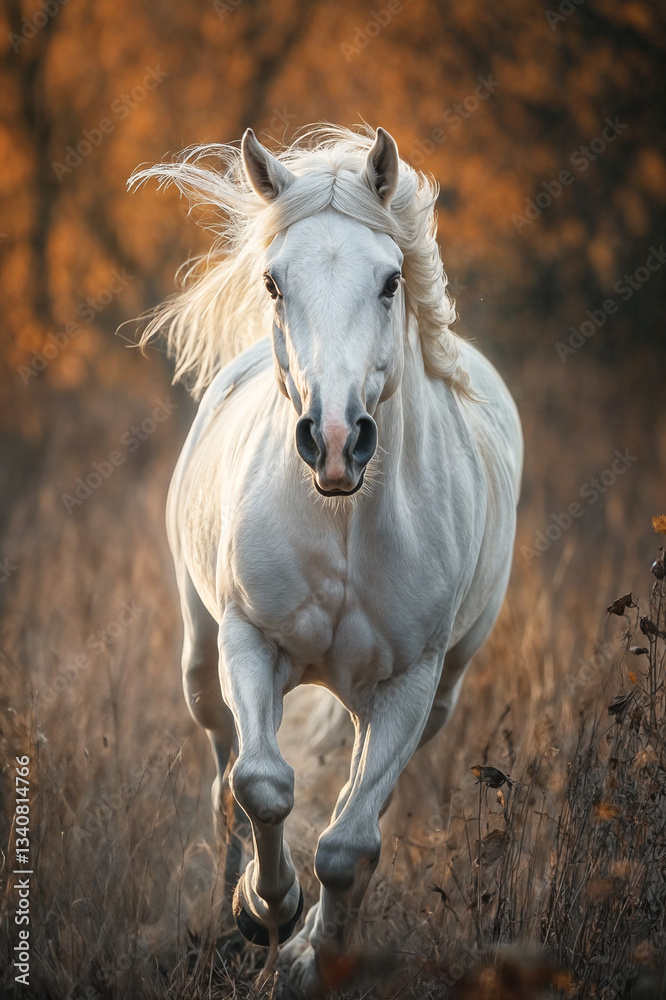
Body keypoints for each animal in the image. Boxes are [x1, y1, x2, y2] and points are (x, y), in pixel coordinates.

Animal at [129, 124, 523, 995]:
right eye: (274, 282)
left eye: (389, 281)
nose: (336, 440)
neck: (342, 517)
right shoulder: (249, 641)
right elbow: (262, 783)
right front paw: (263, 907)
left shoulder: (411, 683)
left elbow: (349, 846)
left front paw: (313, 952)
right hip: (201, 657)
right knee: (225, 764)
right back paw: (234, 904)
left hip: (435, 694)